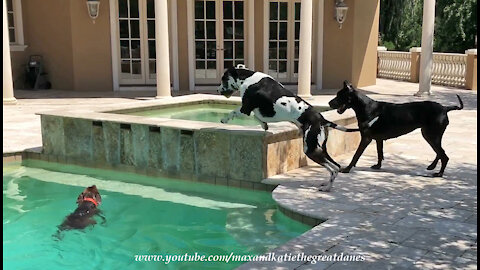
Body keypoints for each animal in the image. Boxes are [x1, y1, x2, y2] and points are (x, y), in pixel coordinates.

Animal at [219, 65, 358, 192]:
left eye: (223, 79)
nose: (218, 89)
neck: (248, 78)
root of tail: (321, 119)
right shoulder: (254, 110)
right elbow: (257, 117)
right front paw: (264, 125)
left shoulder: (245, 109)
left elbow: (233, 112)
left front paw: (224, 120)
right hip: (320, 148)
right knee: (336, 165)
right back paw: (327, 184)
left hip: (310, 149)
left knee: (334, 168)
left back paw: (327, 188)